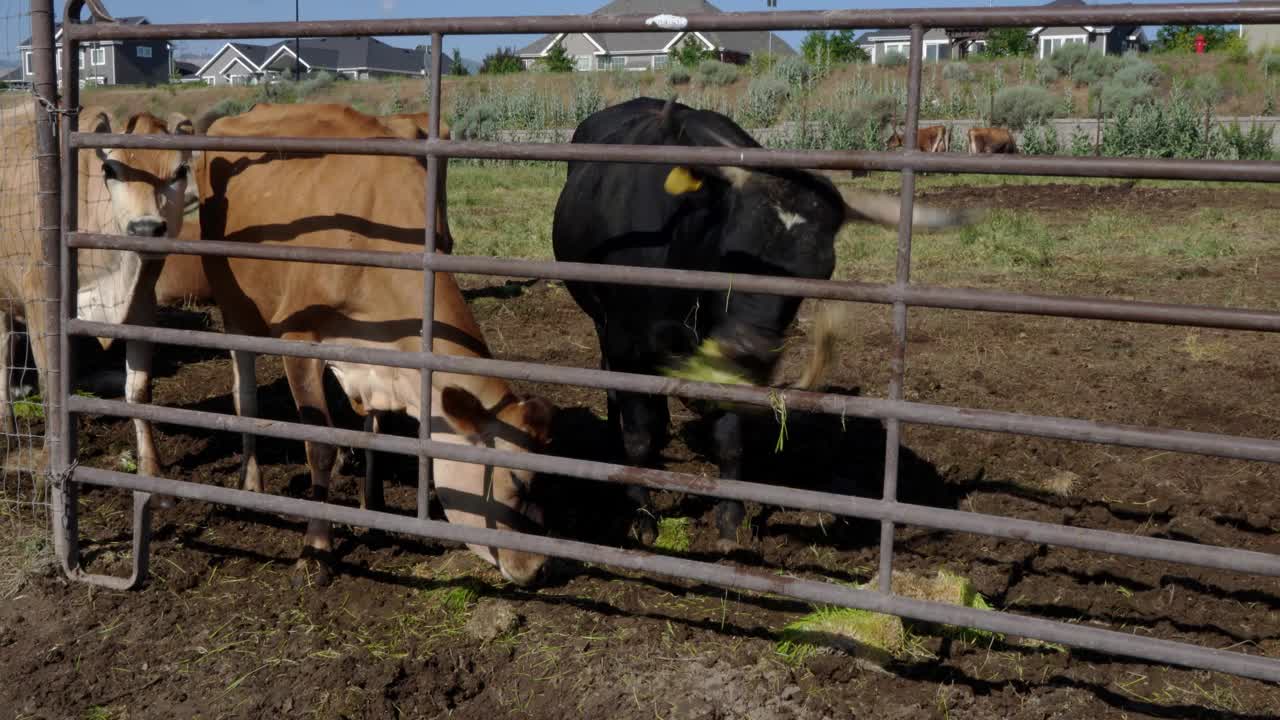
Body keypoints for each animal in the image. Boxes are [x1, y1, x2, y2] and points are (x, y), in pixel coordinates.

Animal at [547, 94, 967, 543]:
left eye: (819, 272)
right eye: (732, 253)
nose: (749, 352)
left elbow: (730, 439)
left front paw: (731, 518)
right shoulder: (626, 342)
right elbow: (637, 438)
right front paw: (641, 515)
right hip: (603, 324)